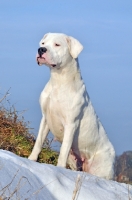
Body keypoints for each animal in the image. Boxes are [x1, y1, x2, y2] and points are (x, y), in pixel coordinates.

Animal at [28, 32, 115, 180]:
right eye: (43, 43)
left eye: (57, 44)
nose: (41, 50)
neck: (58, 81)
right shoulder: (45, 118)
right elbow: (39, 141)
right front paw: (31, 160)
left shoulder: (70, 124)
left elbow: (63, 150)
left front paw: (59, 169)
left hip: (101, 168)